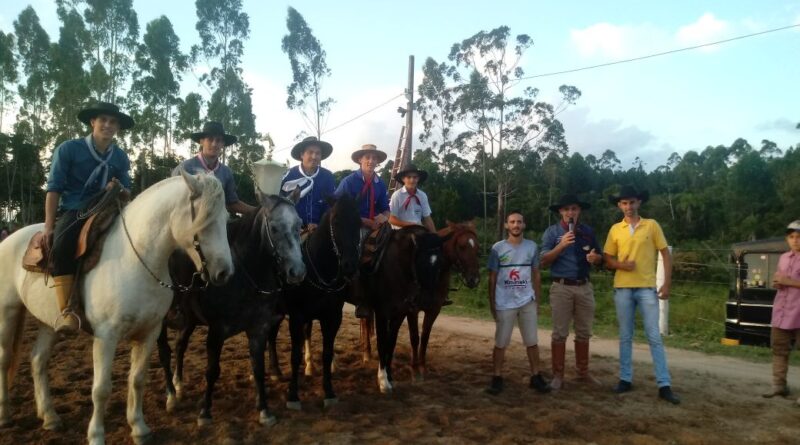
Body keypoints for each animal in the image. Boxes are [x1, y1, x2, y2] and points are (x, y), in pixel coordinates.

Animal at [0, 171, 236, 444]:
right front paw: (96, 435)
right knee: (5, 360)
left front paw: (139, 428)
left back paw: (49, 416)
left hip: (48, 323)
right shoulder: (106, 336)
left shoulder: (149, 333)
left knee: (38, 360)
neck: (136, 260)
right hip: (7, 313)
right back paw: (5, 415)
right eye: (204, 221)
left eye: (226, 219)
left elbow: (137, 380)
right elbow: (101, 389)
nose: (224, 273)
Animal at [156, 187, 306, 426]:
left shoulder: (258, 329)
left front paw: (264, 410)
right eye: (274, 228)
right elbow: (212, 371)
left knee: (180, 345)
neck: (245, 275)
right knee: (164, 351)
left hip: (189, 320)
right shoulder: (217, 332)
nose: (297, 272)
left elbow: (258, 367)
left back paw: (178, 383)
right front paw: (205, 412)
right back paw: (171, 396)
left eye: (299, 224)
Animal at [266, 194, 360, 410]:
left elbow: (327, 353)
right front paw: (293, 396)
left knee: (272, 336)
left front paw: (329, 392)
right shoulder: (297, 317)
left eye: (359, 222)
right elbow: (294, 356)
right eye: (336, 221)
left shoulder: (332, 318)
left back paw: (276, 371)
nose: (350, 265)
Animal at [360, 225, 446, 392]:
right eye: (421, 263)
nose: (429, 300)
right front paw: (383, 381)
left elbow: (391, 342)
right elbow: (382, 342)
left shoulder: (400, 312)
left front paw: (389, 376)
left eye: (440, 264)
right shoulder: (382, 312)